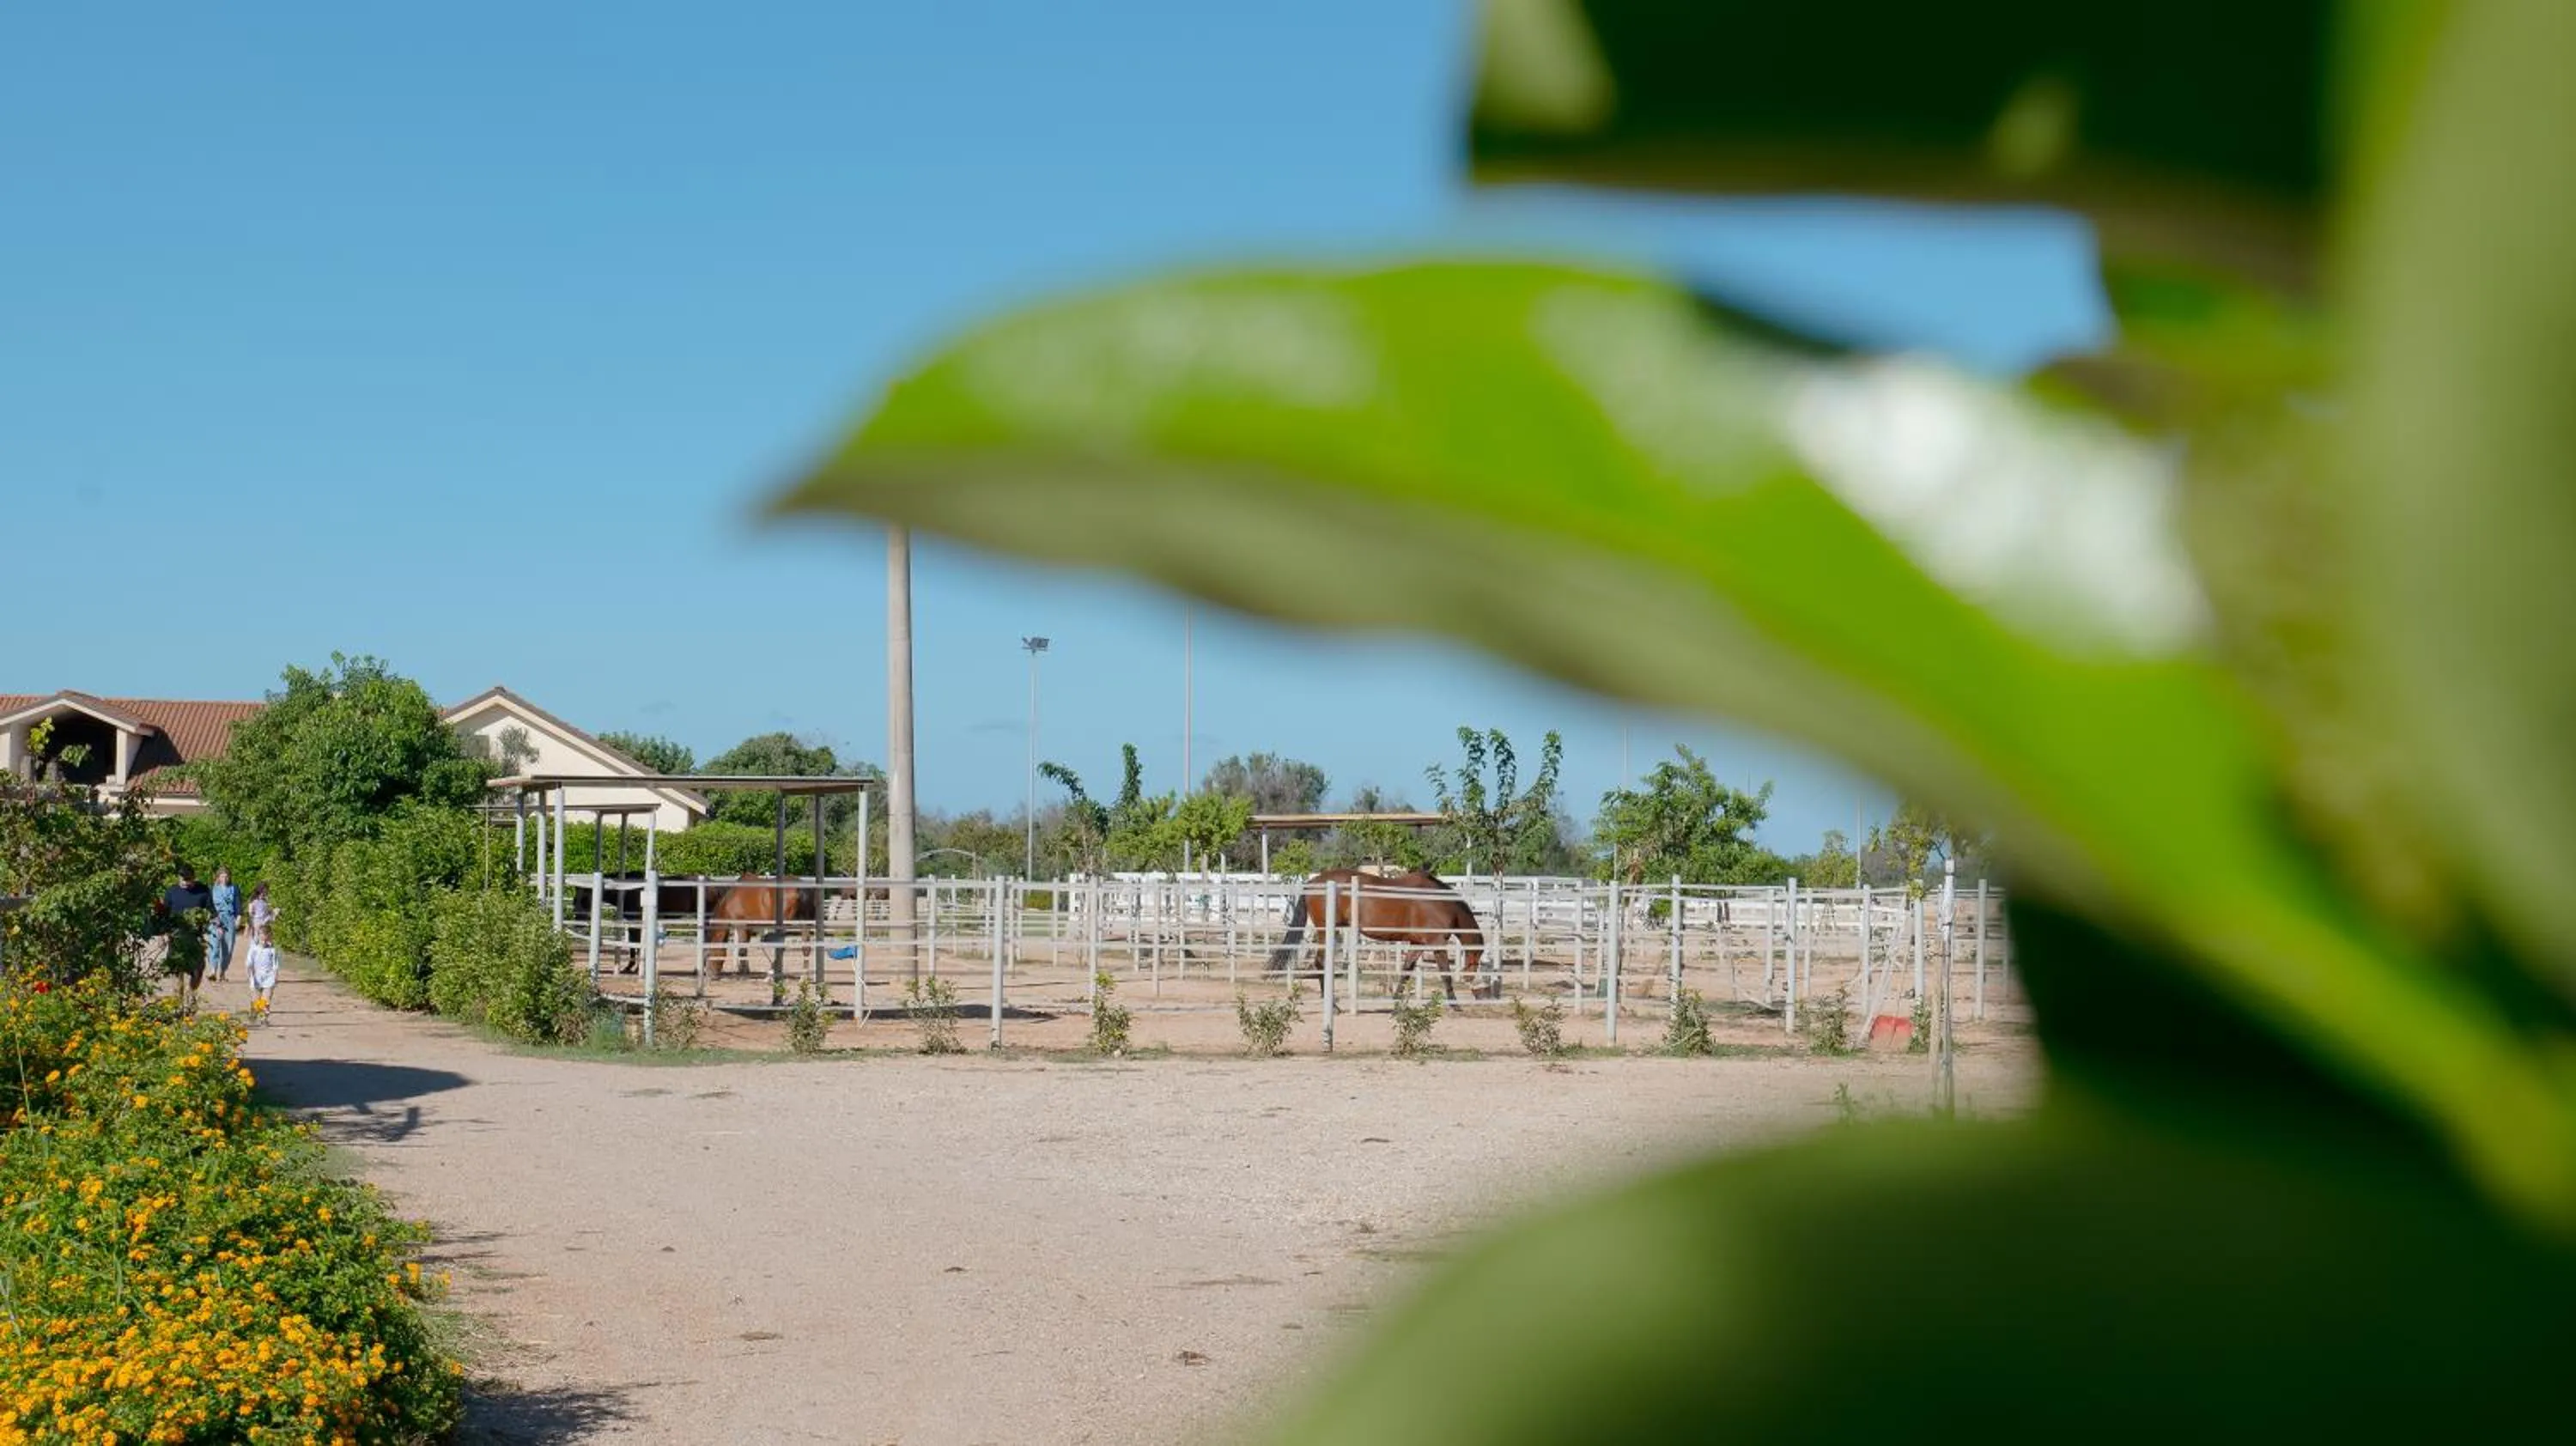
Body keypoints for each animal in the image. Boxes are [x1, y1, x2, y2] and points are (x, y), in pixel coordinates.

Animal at [1264, 868, 1494, 1003]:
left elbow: (1406, 970)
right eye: (1477, 954)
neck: (1439, 903)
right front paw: (1454, 1003)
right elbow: (1445, 973)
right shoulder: (1436, 944)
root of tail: (1314, 882)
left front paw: (1395, 1000)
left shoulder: (1417, 944)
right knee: (1320, 963)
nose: (1471, 979)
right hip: (1325, 930)